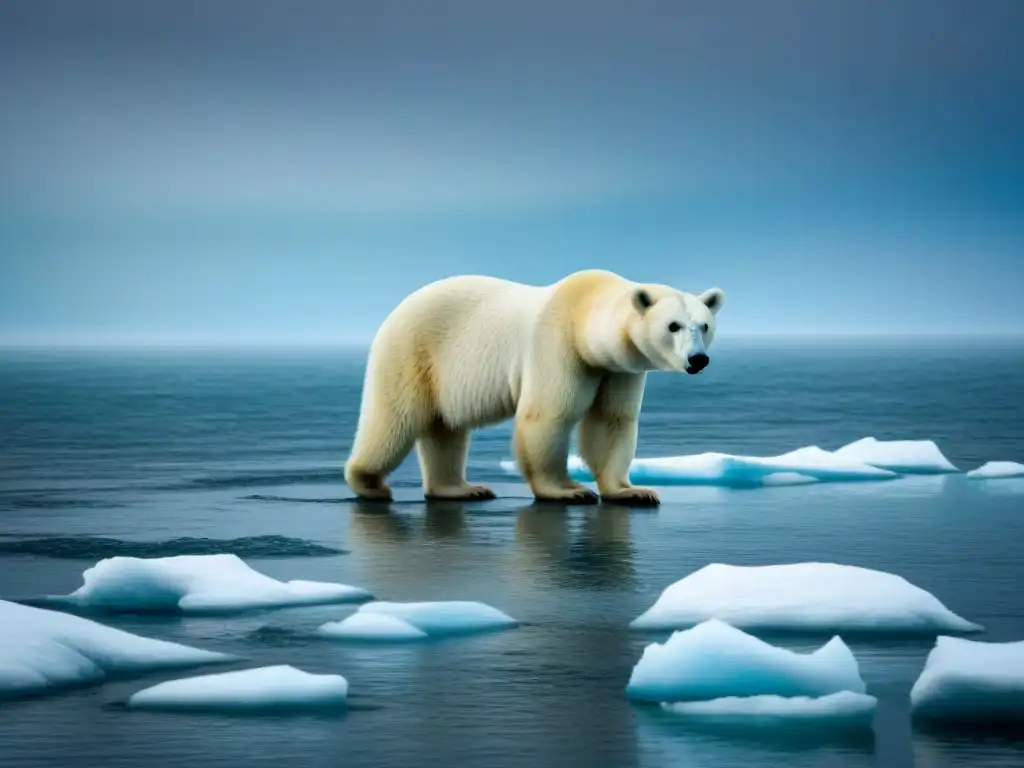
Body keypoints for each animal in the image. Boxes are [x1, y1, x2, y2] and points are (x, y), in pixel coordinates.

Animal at [342, 268, 720, 507]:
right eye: (673, 326)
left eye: (704, 325)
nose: (698, 359)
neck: (583, 314)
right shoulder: (558, 346)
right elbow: (549, 415)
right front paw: (568, 491)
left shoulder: (617, 369)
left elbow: (612, 421)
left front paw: (633, 492)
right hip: (413, 351)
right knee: (394, 420)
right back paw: (370, 483)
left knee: (445, 429)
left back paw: (460, 488)